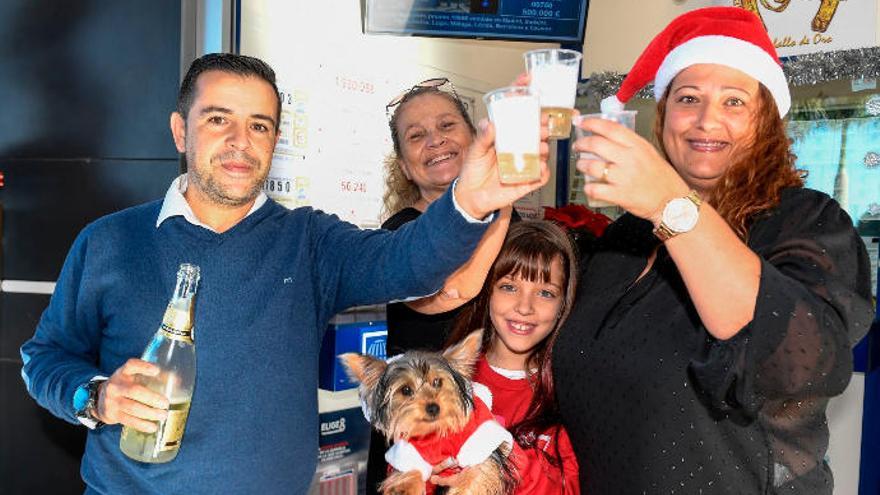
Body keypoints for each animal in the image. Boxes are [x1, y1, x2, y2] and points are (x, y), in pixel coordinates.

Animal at [338, 330, 516, 495]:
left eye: (437, 381)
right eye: (406, 390)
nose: (433, 407)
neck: (436, 434)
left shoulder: (480, 443)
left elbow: (478, 472)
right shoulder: (412, 452)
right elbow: (410, 470)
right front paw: (405, 487)